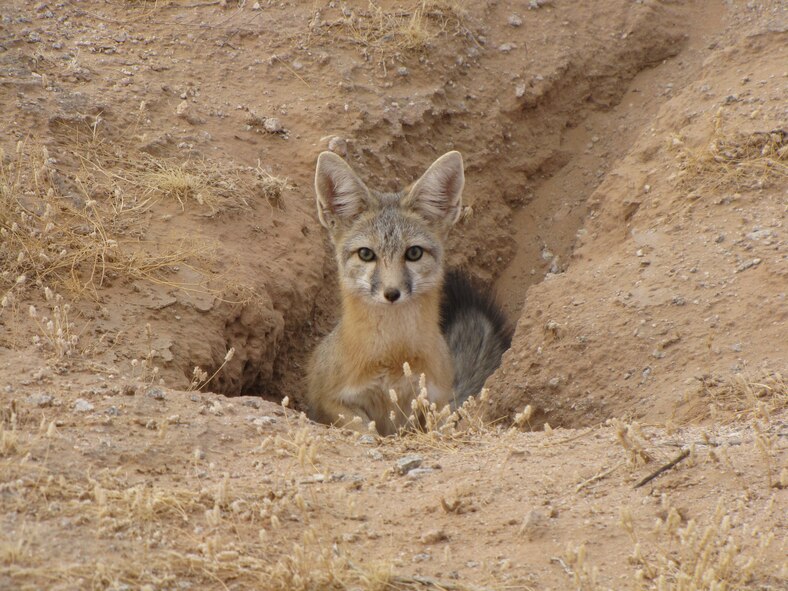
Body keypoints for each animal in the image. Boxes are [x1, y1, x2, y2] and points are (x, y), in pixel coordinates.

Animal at [306, 150, 512, 435]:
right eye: (366, 254)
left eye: (413, 253)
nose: (392, 293)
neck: (392, 355)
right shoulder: (329, 399)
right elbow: (364, 427)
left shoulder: (435, 400)